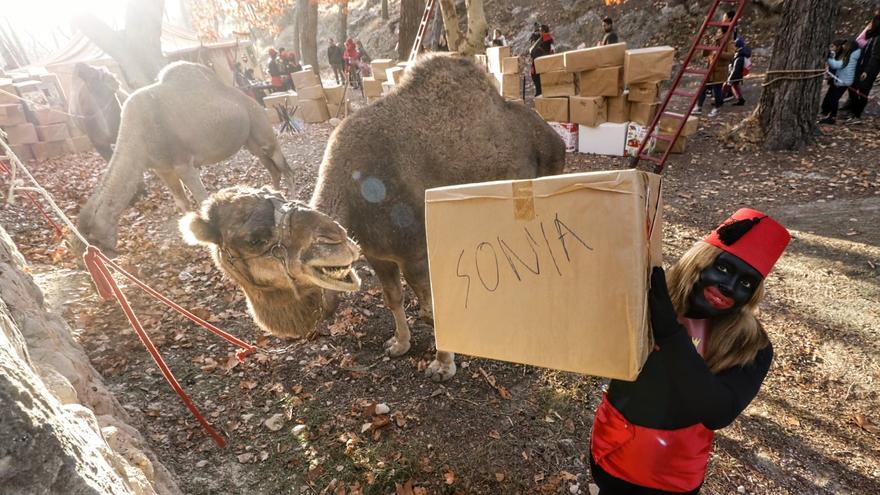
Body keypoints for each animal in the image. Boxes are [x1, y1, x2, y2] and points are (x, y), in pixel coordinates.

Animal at [75, 60, 296, 258]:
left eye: (93, 240)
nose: (106, 259)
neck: (137, 133)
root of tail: (251, 99)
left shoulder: (183, 163)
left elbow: (203, 200)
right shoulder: (162, 168)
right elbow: (182, 203)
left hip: (260, 125)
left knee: (282, 164)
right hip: (250, 141)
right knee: (271, 167)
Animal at [181, 55, 564, 384]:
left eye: (256, 237)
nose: (337, 238)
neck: (358, 194)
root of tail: (552, 136)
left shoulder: (414, 253)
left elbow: (431, 309)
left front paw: (443, 365)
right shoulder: (379, 254)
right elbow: (393, 298)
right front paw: (400, 344)